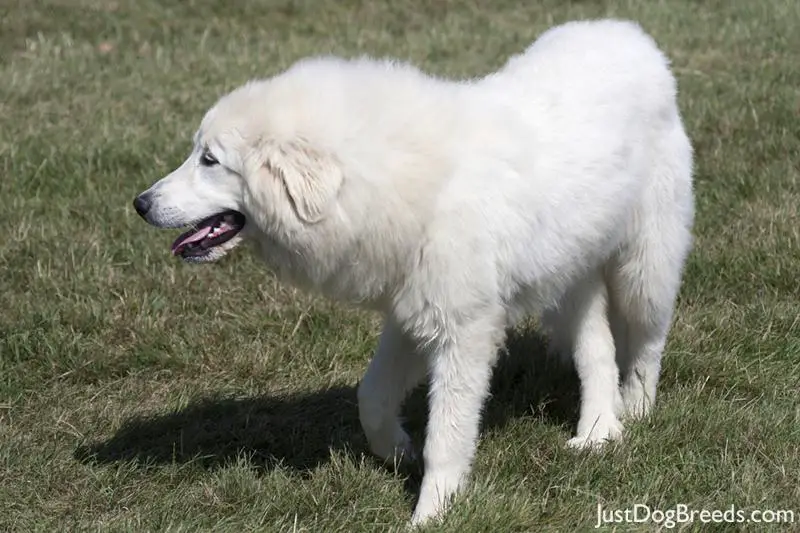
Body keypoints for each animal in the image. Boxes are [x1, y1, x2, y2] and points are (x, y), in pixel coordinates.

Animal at [133, 19, 692, 524]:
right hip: (569, 275)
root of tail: (633, 36)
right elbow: (371, 396)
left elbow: (447, 435)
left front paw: (430, 514)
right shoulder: (411, 314)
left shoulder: (463, 332)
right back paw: (597, 432)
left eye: (209, 160)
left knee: (645, 343)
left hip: (644, 267)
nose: (140, 204)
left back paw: (634, 410)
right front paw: (397, 451)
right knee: (596, 348)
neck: (393, 176)